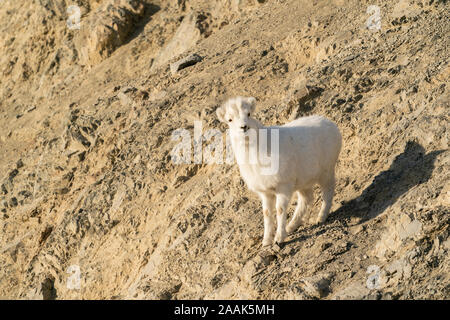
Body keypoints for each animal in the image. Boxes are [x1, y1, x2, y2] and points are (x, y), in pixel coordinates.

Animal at [217, 96, 342, 246]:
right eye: (230, 119)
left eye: (249, 114)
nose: (244, 127)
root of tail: (330, 124)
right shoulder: (265, 193)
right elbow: (266, 213)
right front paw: (266, 241)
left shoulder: (283, 186)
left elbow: (280, 210)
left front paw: (279, 239)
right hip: (304, 182)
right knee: (306, 200)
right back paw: (291, 226)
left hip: (326, 172)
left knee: (327, 192)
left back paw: (320, 218)